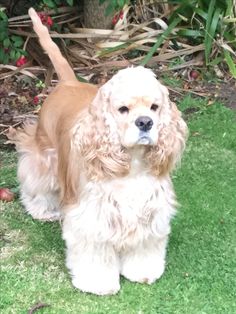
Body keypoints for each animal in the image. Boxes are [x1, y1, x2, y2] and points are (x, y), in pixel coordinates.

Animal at [7, 7, 188, 296]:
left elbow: (145, 245)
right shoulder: (91, 217)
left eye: (154, 107)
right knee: (34, 180)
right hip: (44, 155)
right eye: (123, 109)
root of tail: (69, 82)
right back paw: (42, 209)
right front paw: (99, 283)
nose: (145, 122)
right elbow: (94, 253)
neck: (132, 164)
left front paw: (143, 271)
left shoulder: (151, 209)